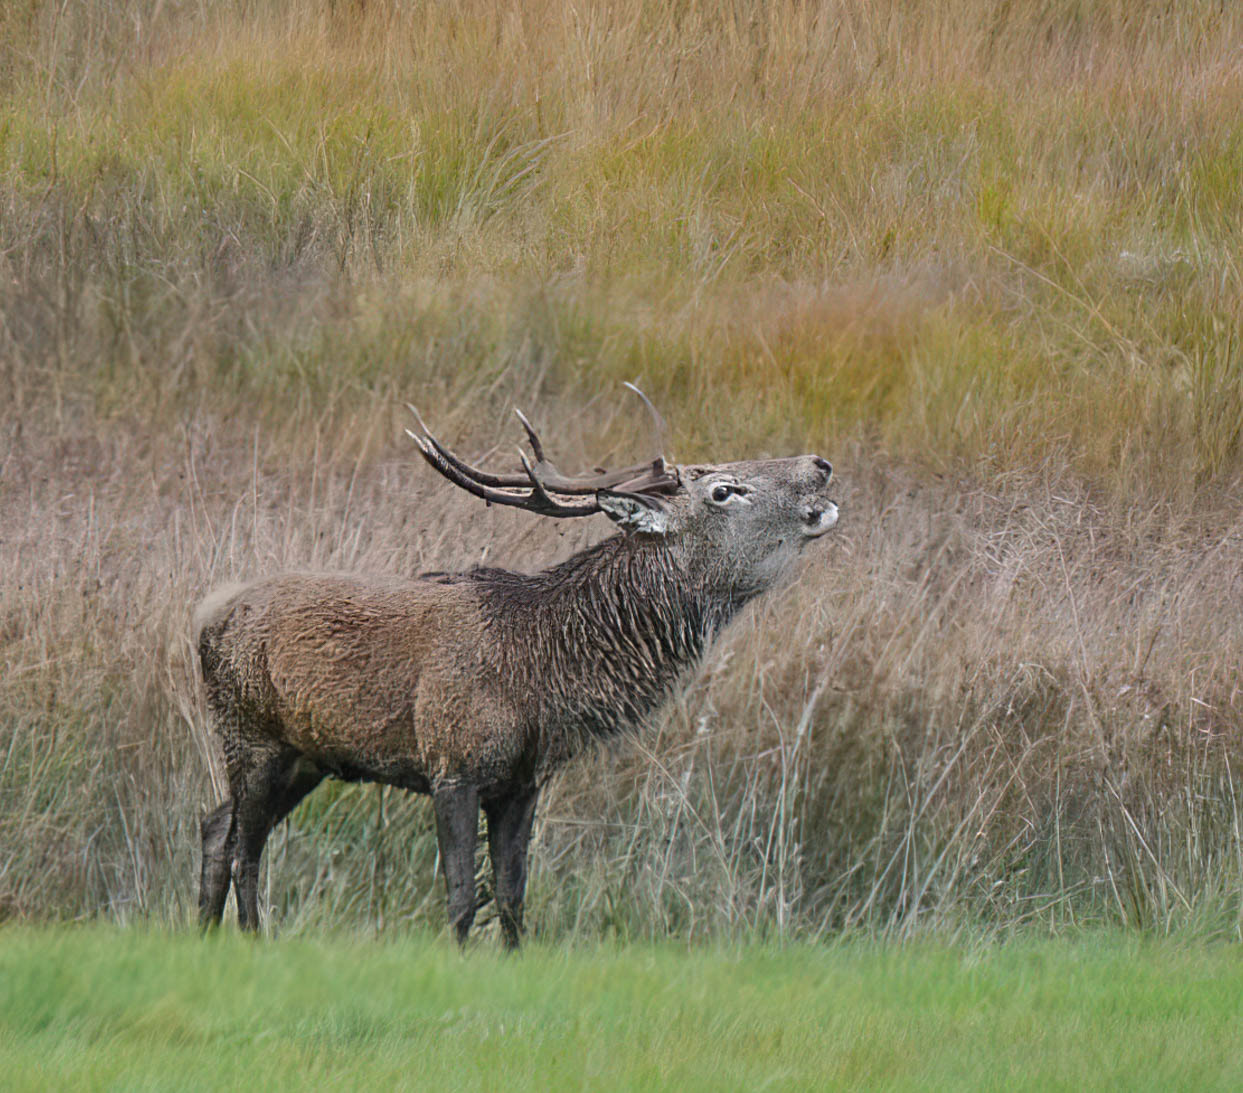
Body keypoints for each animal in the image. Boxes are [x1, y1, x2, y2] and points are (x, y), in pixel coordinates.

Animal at [194, 390, 839, 947]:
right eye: (724, 490)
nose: (821, 463)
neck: (539, 677)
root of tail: (204, 619)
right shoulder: (452, 762)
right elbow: (460, 897)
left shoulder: (524, 782)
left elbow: (511, 897)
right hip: (251, 734)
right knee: (245, 847)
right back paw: (250, 938)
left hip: (306, 757)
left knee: (217, 826)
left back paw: (203, 933)